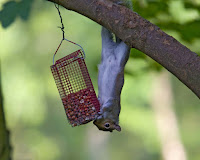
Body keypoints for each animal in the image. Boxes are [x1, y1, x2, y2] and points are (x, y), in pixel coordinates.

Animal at [94, 0, 133, 132]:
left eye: (106, 126)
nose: (94, 121)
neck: (113, 114)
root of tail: (114, 51)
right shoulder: (113, 104)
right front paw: (100, 109)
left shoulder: (112, 103)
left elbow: (106, 103)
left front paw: (100, 108)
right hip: (120, 50)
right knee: (125, 41)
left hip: (108, 47)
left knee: (105, 30)